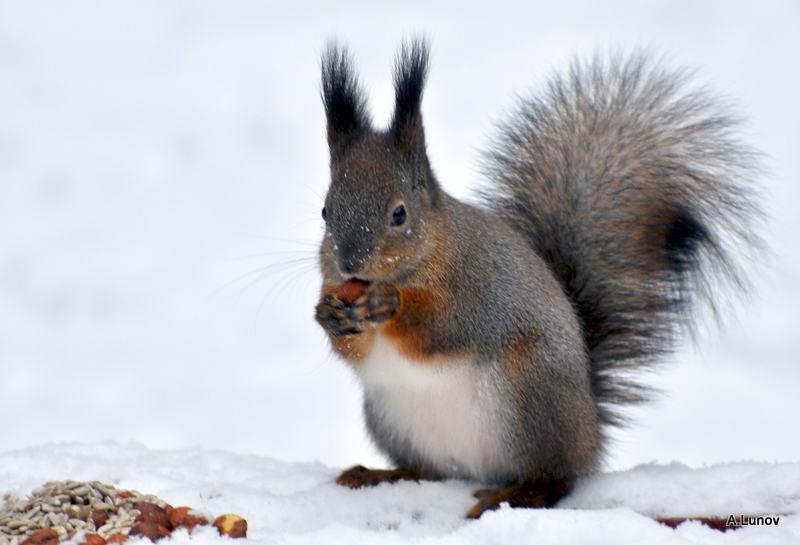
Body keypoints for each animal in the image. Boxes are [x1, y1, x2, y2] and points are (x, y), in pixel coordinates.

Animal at [312, 39, 764, 520]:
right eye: (325, 211)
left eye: (399, 214)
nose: (349, 263)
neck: (421, 257)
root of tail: (589, 432)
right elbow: (353, 351)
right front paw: (328, 315)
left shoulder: (479, 287)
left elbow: (447, 327)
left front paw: (389, 301)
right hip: (392, 416)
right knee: (430, 471)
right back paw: (381, 475)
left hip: (530, 396)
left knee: (556, 478)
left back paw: (517, 494)